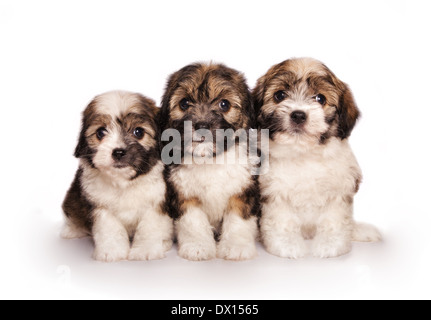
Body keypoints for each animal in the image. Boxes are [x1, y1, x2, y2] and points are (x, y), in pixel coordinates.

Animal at [62, 90, 174, 262]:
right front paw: (111, 251)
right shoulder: (100, 205)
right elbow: (109, 227)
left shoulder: (157, 201)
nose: (119, 152)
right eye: (100, 132)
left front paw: (146, 250)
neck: (123, 183)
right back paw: (72, 229)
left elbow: (150, 226)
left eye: (138, 132)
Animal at [159, 63, 258, 262]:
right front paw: (198, 246)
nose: (202, 125)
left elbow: (238, 220)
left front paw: (236, 246)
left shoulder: (242, 190)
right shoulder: (185, 194)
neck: (210, 160)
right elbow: (193, 222)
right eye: (184, 103)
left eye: (224, 104)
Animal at [255, 58, 384, 258]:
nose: (298, 115)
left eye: (320, 98)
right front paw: (287, 245)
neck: (304, 153)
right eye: (279, 95)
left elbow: (334, 220)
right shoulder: (274, 191)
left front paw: (330, 245)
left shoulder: (339, 191)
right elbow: (283, 220)